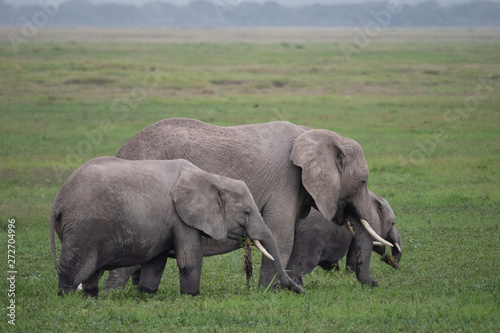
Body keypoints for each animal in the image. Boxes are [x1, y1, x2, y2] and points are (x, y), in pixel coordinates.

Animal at [49, 157, 304, 296]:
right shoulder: (180, 216)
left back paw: (91, 297)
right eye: (247, 212)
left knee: (91, 273)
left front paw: (146, 294)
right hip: (83, 228)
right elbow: (189, 259)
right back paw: (67, 297)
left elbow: (155, 262)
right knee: (74, 269)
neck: (212, 178)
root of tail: (57, 202)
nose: (302, 291)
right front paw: (192, 296)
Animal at [111, 118, 392, 286]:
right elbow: (281, 235)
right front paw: (269, 292)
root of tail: (121, 150)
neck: (313, 133)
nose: (375, 284)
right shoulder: (285, 180)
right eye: (363, 182)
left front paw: (287, 287)